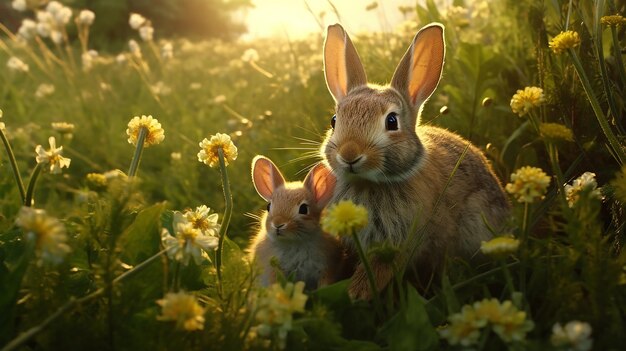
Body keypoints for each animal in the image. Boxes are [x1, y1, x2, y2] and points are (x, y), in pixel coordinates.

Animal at [322, 23, 508, 300]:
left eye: (391, 122)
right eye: (334, 121)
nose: (349, 154)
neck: (370, 183)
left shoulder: (405, 237)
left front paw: (358, 292)